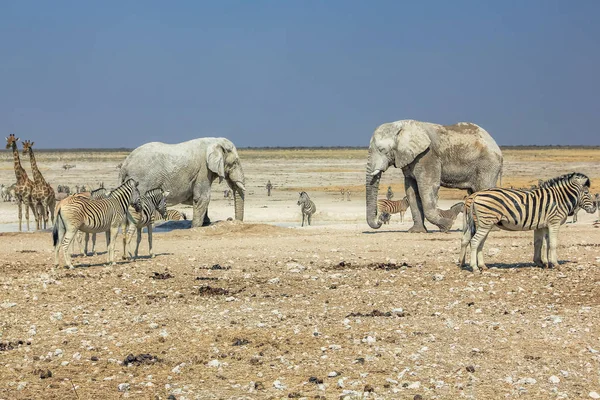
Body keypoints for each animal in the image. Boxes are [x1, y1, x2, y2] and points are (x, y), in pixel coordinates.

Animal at [366, 119, 502, 231]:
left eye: (382, 150)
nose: (379, 221)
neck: (402, 126)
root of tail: (494, 143)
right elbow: (411, 192)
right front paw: (417, 231)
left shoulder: (427, 156)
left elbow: (427, 188)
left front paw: (447, 226)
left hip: (488, 165)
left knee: (483, 189)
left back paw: (491, 229)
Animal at [460, 172, 596, 272]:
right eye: (586, 192)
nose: (595, 208)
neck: (559, 199)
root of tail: (476, 195)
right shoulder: (554, 222)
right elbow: (552, 244)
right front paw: (555, 264)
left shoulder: (542, 225)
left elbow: (541, 243)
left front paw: (542, 263)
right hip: (485, 223)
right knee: (475, 241)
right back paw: (474, 267)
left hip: (484, 224)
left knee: (475, 241)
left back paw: (480, 265)